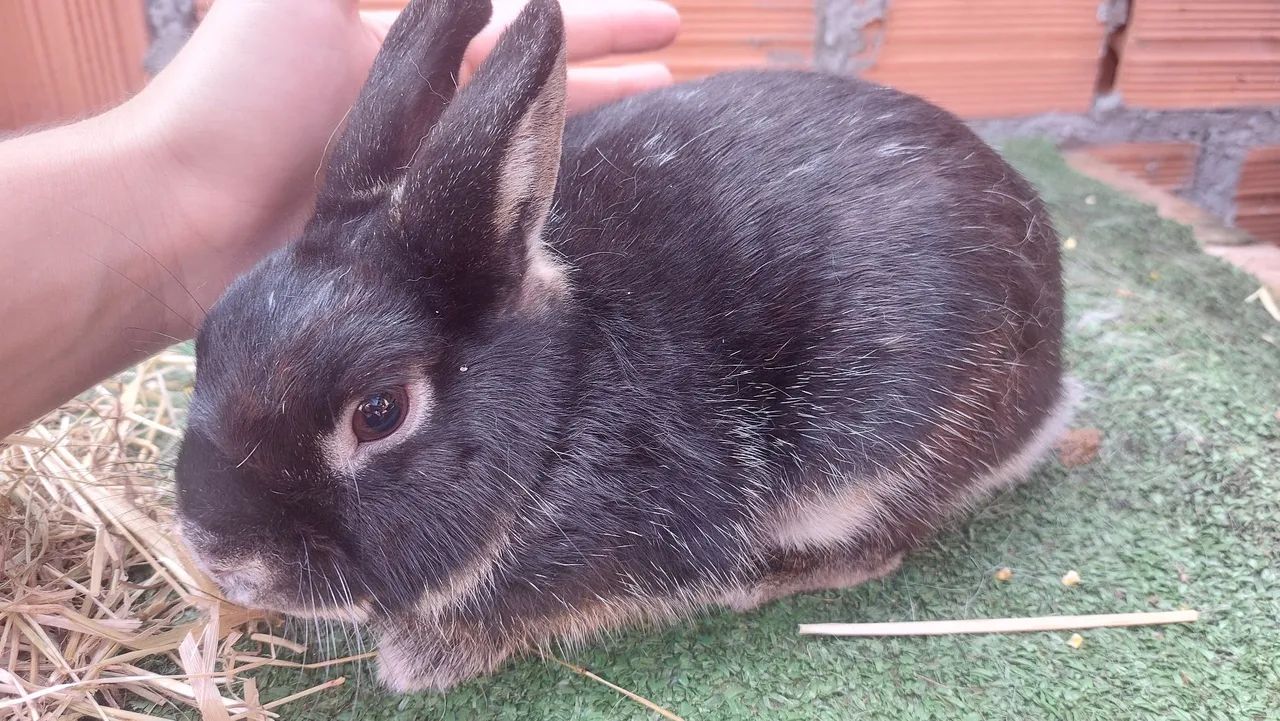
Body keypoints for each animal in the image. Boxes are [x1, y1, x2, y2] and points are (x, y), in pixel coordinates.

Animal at [174, 0, 1071, 692]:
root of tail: (1053, 375)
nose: (221, 555)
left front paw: (419, 660)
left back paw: (762, 581)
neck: (565, 399)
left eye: (380, 410)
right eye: (211, 334)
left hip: (864, 462)